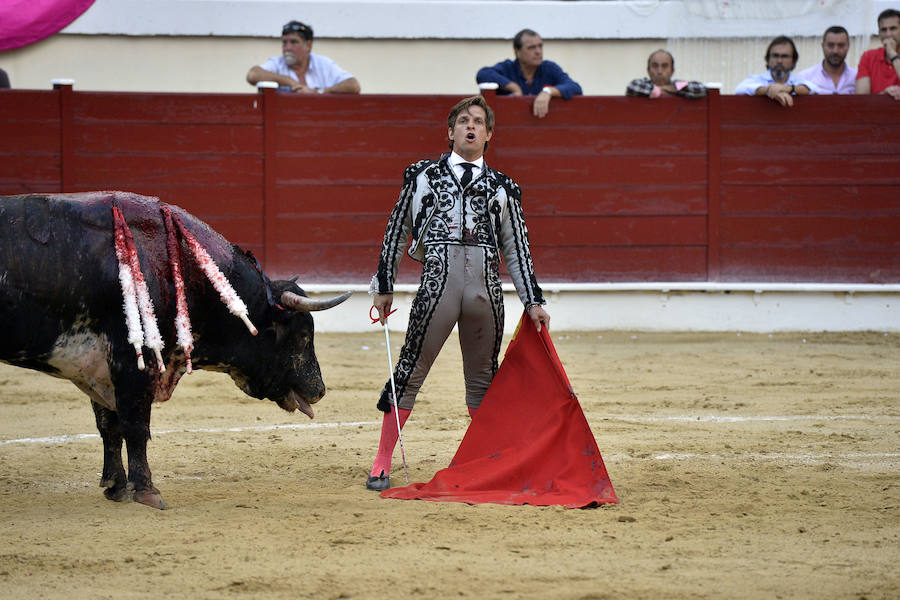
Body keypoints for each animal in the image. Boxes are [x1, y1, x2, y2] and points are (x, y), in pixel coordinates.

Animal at [0, 191, 350, 506]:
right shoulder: (132, 362)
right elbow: (136, 425)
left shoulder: (97, 366)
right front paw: (146, 491)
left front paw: (116, 487)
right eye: (302, 335)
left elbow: (109, 426)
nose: (320, 390)